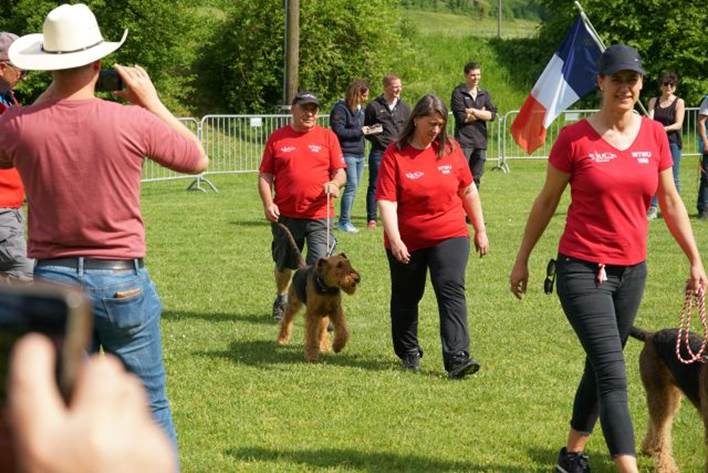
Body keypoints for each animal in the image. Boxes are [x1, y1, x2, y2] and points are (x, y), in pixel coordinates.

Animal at [276, 223, 362, 360]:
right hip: (294, 304)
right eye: (339, 265)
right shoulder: (312, 313)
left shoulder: (335, 310)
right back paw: (282, 339)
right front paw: (312, 355)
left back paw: (325, 346)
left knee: (322, 331)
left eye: (348, 263)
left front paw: (338, 346)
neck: (326, 288)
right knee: (287, 321)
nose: (357, 278)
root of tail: (303, 267)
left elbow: (342, 330)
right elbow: (311, 335)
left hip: (324, 314)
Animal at [628, 326, 704, 470]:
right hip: (658, 390)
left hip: (671, 394)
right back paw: (667, 467)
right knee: (661, 433)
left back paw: (648, 449)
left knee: (655, 423)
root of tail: (651, 335)